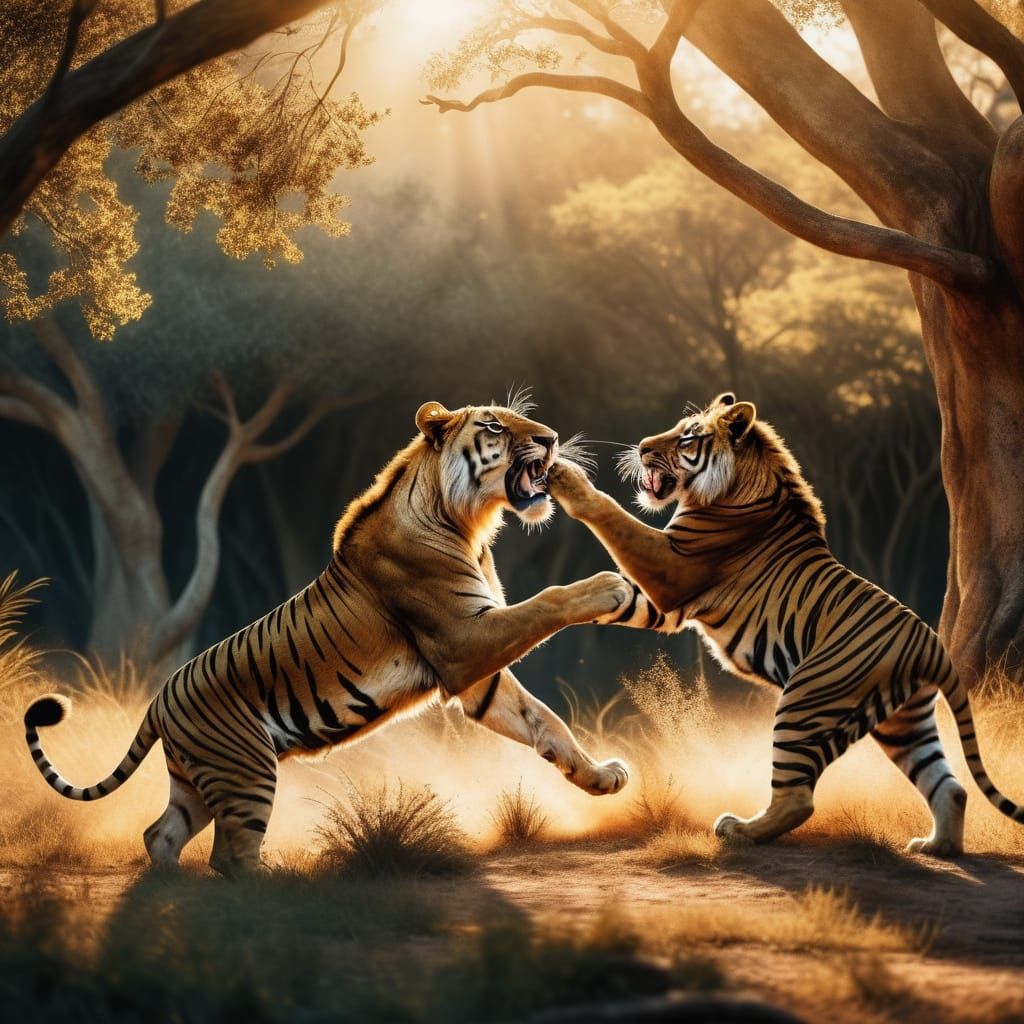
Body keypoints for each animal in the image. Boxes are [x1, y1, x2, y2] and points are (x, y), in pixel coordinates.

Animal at [25, 397, 633, 876]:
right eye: (494, 426)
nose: (550, 439)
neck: (470, 525)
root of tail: (156, 701)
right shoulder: (464, 642)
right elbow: (548, 601)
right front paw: (610, 587)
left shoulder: (472, 675)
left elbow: (544, 721)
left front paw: (602, 778)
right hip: (246, 770)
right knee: (230, 855)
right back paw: (277, 888)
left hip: (198, 783)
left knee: (160, 835)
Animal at [545, 392, 1024, 856]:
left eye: (687, 438)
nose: (643, 448)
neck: (731, 489)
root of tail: (933, 646)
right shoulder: (673, 599)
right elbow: (626, 599)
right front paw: (588, 596)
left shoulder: (672, 567)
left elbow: (615, 518)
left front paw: (566, 478)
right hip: (905, 723)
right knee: (950, 787)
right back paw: (938, 847)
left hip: (805, 702)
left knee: (798, 798)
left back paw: (740, 830)